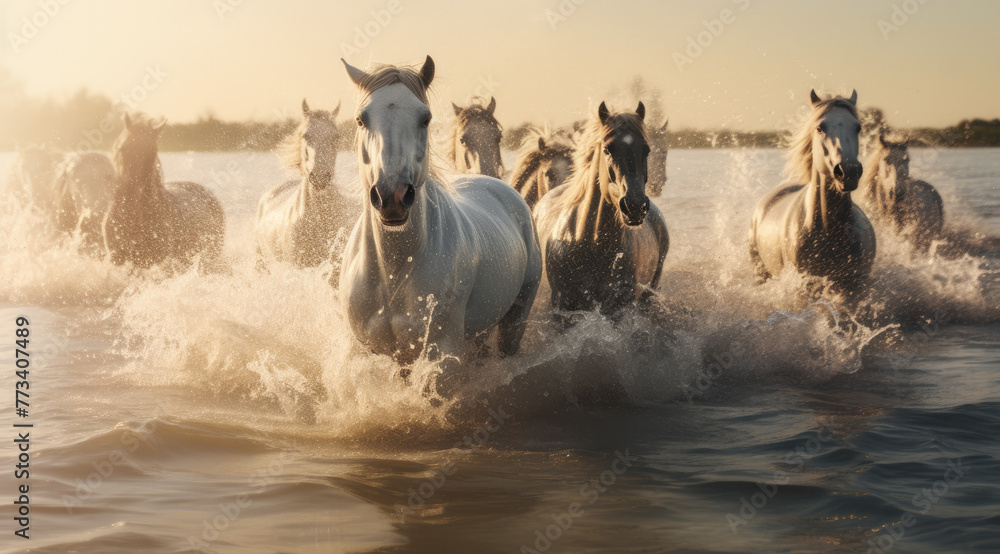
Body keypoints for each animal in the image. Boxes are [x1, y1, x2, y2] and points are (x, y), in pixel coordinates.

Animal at [338, 56, 544, 364]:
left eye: (425, 118)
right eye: (361, 119)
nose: (392, 196)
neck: (394, 273)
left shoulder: (442, 352)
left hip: (515, 318)